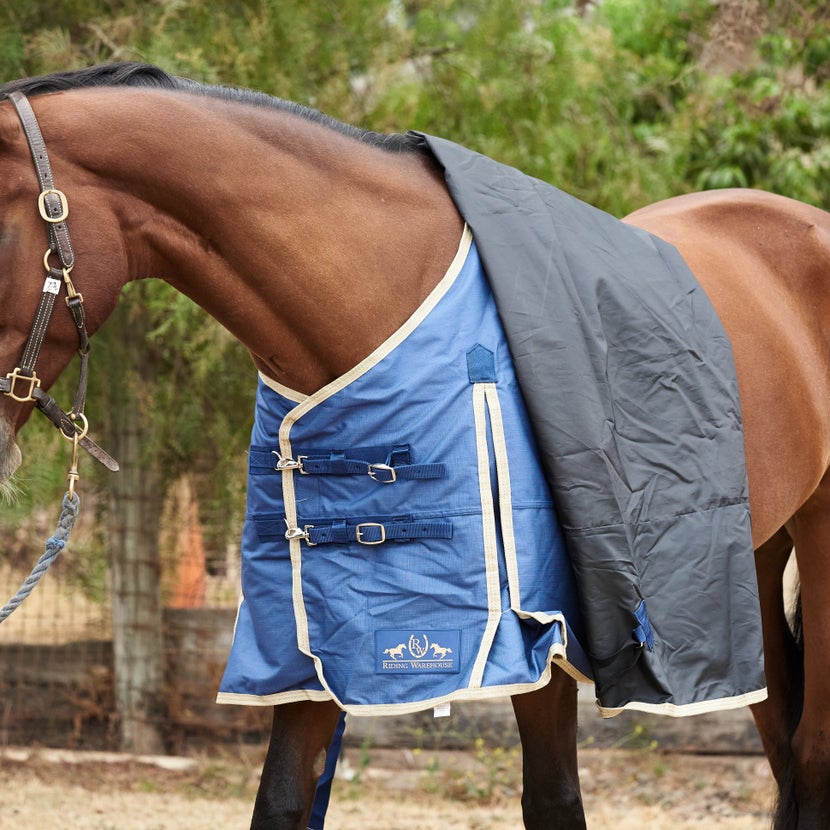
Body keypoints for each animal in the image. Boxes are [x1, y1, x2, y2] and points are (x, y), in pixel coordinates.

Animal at [0, 61, 828, 828]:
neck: (379, 302)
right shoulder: (318, 632)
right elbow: (282, 799)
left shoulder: (538, 624)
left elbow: (553, 802)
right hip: (743, 569)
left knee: (810, 752)